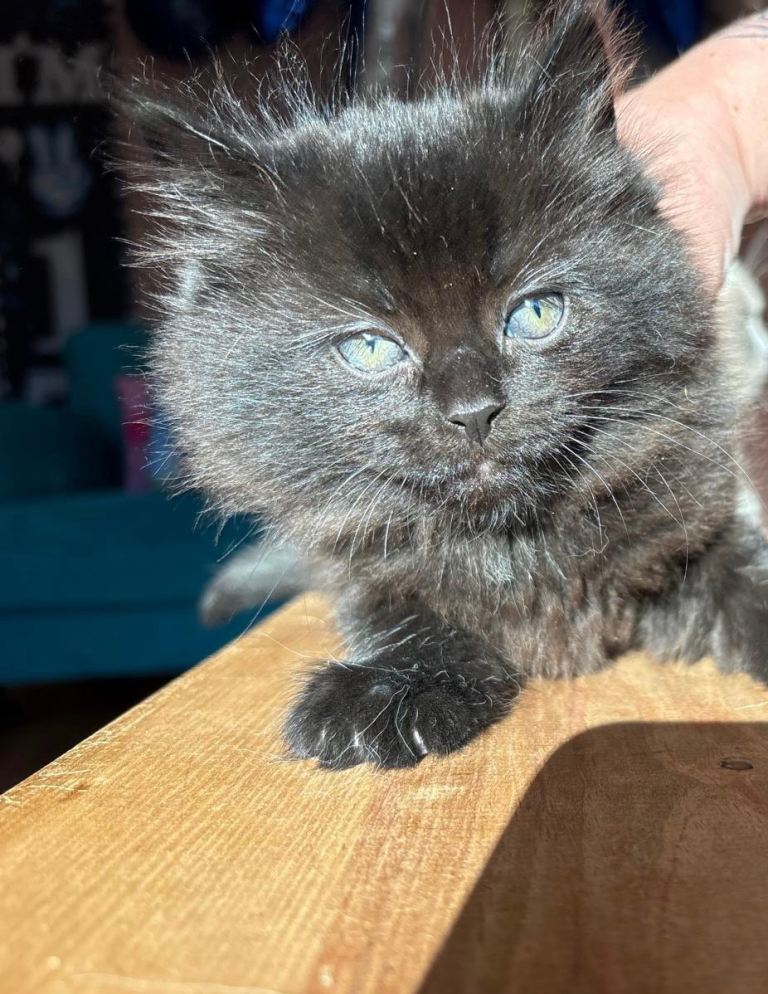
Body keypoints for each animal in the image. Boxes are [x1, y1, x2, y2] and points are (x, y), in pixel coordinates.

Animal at [128, 0, 768, 769]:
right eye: (371, 348)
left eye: (535, 313)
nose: (474, 411)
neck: (512, 542)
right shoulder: (361, 564)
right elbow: (401, 613)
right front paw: (390, 688)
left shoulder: (701, 514)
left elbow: (746, 573)